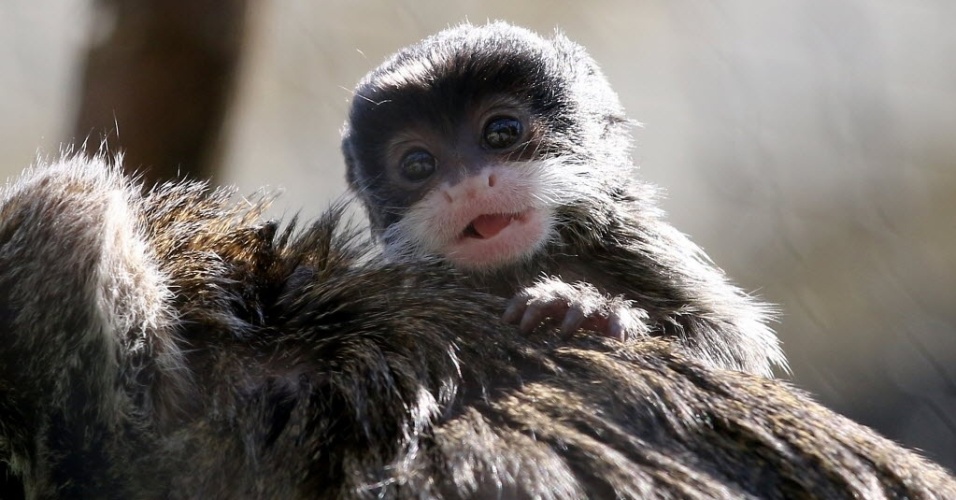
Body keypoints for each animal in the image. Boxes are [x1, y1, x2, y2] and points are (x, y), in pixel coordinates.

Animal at [344, 21, 784, 376]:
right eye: (418, 164)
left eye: (501, 132)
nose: (467, 186)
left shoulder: (635, 243)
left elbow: (731, 343)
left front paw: (588, 310)